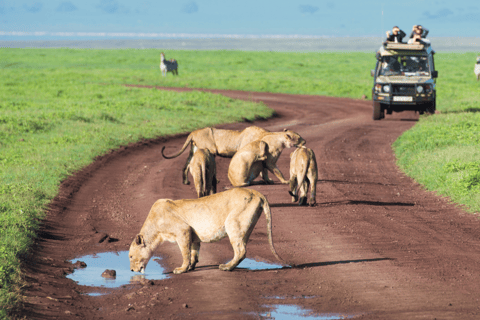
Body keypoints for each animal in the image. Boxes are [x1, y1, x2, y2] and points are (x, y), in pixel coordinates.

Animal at [128, 188, 284, 276]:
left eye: (130, 256)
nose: (131, 270)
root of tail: (256, 192)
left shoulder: (182, 230)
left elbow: (184, 253)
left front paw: (181, 269)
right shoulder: (192, 235)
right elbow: (193, 253)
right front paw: (191, 267)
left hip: (233, 223)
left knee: (241, 251)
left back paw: (226, 267)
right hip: (246, 227)